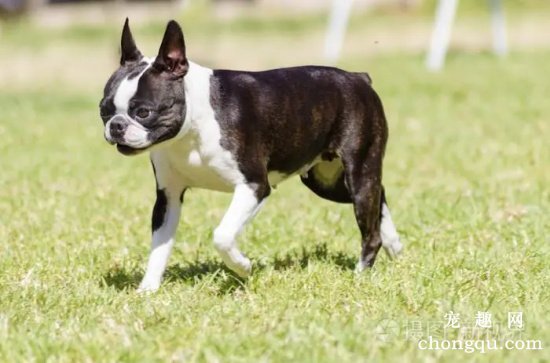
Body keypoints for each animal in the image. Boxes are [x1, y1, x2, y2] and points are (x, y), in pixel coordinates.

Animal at [99, 19, 404, 292]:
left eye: (143, 112)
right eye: (104, 110)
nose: (116, 125)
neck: (192, 128)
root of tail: (358, 78)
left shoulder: (254, 186)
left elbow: (222, 235)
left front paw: (242, 267)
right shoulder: (168, 198)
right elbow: (159, 247)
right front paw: (148, 289)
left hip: (358, 169)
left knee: (370, 224)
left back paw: (361, 273)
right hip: (325, 182)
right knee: (379, 196)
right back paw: (394, 245)